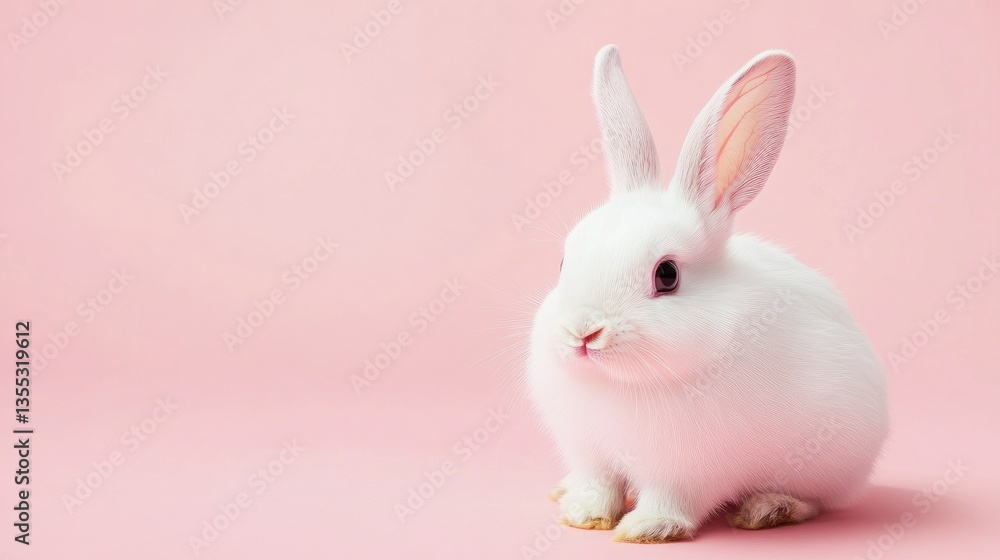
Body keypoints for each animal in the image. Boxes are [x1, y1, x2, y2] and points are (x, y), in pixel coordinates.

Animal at [527, 45, 888, 543]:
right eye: (564, 262)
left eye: (667, 275)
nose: (583, 332)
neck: (620, 383)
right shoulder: (590, 454)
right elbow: (598, 485)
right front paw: (582, 515)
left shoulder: (686, 471)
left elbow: (670, 499)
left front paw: (648, 528)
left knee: (818, 501)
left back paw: (769, 509)